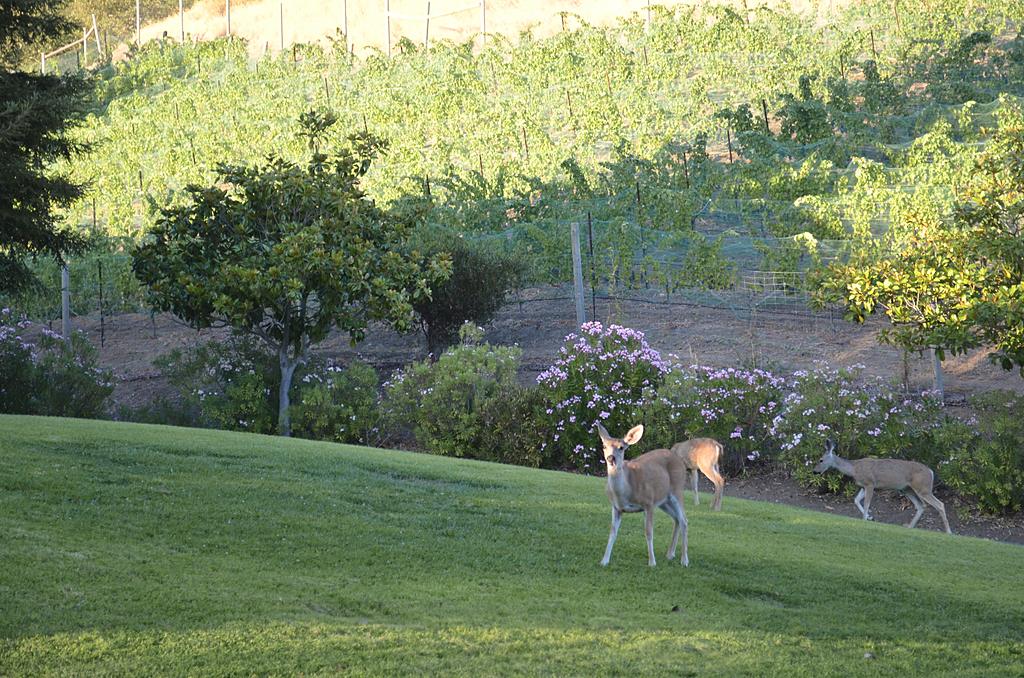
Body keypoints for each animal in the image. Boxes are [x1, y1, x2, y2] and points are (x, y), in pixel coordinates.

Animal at [597, 423, 689, 567]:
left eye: (621, 447)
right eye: (604, 446)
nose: (611, 458)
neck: (626, 491)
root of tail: (679, 459)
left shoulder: (648, 502)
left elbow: (649, 532)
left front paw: (652, 562)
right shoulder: (616, 507)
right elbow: (612, 532)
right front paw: (604, 561)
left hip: (678, 489)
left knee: (684, 520)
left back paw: (684, 560)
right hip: (664, 501)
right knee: (677, 519)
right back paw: (670, 554)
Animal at [813, 439, 952, 534]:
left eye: (821, 460)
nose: (814, 471)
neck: (854, 469)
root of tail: (931, 471)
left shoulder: (870, 483)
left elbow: (867, 503)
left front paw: (865, 519)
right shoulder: (863, 486)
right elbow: (856, 500)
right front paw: (870, 517)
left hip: (923, 487)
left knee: (939, 504)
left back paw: (949, 532)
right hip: (906, 489)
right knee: (921, 505)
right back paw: (909, 526)